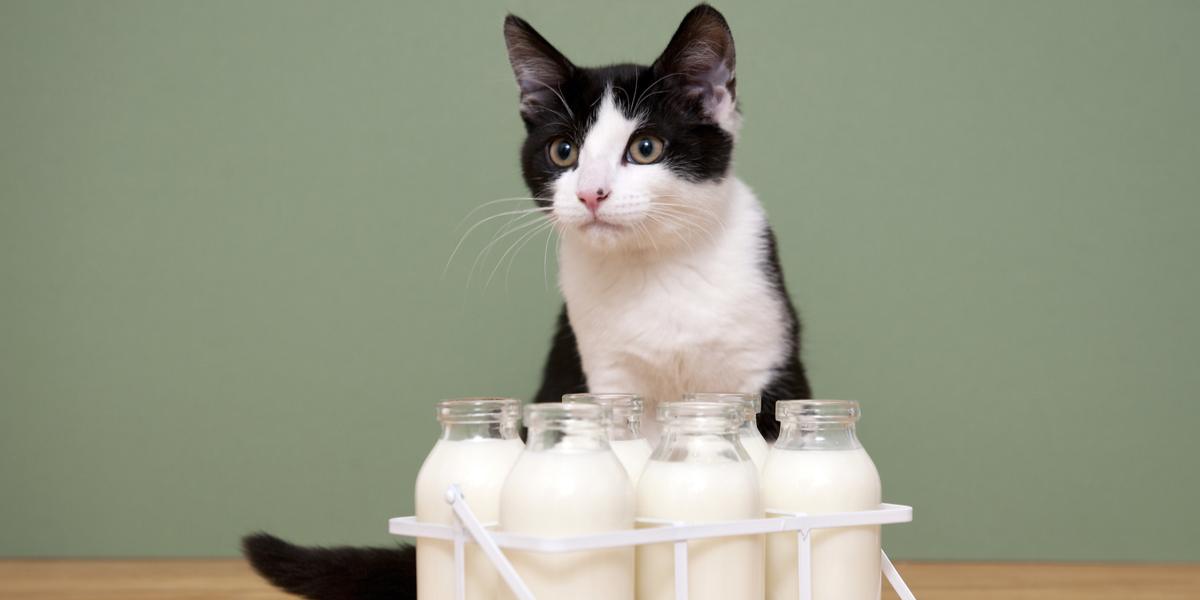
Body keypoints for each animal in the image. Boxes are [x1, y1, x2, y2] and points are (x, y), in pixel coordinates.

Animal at [242, 5, 806, 600]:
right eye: (564, 151)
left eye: (646, 147)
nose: (590, 193)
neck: (657, 269)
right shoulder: (604, 372)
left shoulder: (763, 362)